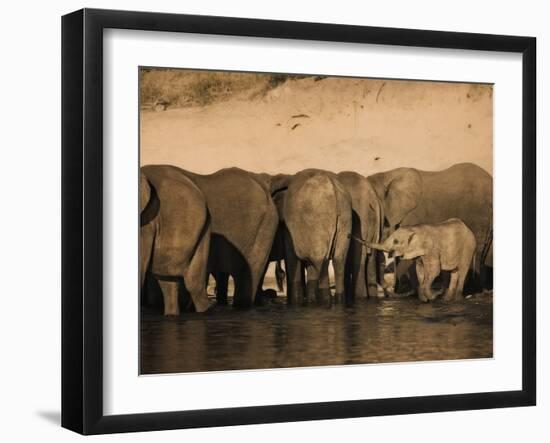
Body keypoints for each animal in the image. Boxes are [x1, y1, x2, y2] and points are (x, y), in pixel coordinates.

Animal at [282, 170, 352, 306]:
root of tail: (334, 188)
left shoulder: (290, 231)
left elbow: (293, 258)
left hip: (317, 222)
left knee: (319, 262)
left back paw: (318, 302)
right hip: (345, 219)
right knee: (339, 261)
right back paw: (338, 301)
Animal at [370, 162, 496, 292]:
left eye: (372, 207)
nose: (387, 289)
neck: (386, 175)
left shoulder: (413, 213)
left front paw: (406, 292)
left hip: (478, 216)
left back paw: (470, 289)